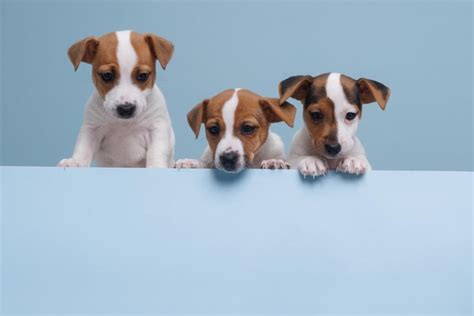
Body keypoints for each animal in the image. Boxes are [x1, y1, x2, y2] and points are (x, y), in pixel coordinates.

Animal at [57, 29, 176, 168]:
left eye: (143, 76)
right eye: (107, 75)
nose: (126, 109)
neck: (124, 124)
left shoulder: (156, 129)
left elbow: (156, 152)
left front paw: (156, 166)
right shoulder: (92, 130)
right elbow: (83, 148)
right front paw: (75, 162)